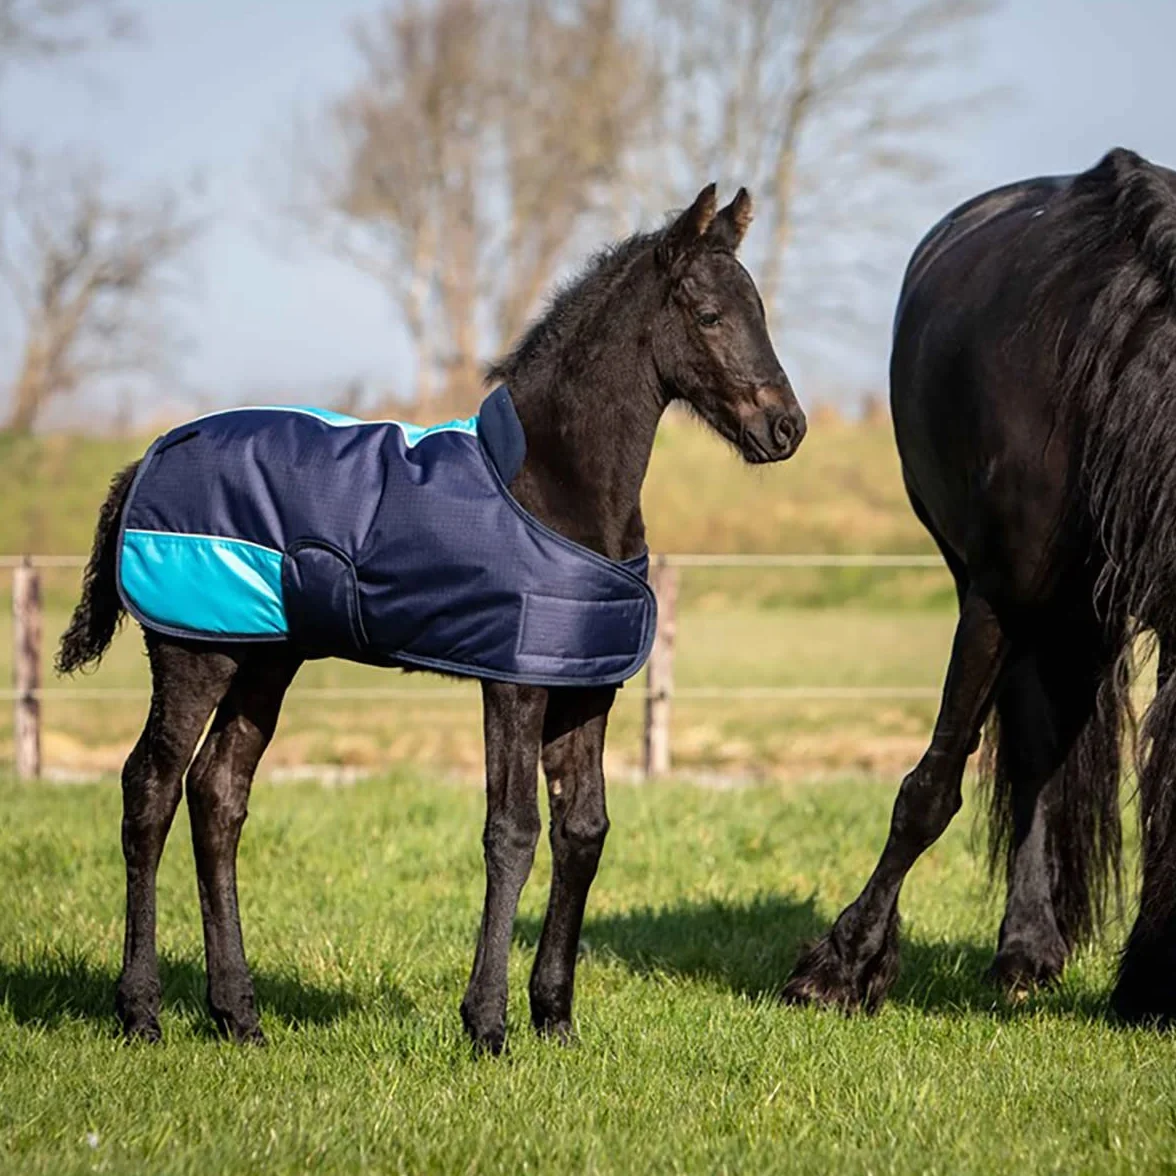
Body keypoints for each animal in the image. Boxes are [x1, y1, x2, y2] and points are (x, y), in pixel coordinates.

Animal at [58, 184, 807, 1052]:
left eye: (761, 311)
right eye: (710, 314)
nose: (786, 428)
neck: (550, 486)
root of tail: (145, 459)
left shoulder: (587, 688)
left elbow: (583, 831)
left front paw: (556, 1019)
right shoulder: (513, 684)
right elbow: (511, 832)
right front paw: (487, 1025)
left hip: (263, 657)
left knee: (218, 794)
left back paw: (237, 1015)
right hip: (193, 650)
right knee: (150, 789)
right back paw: (141, 1011)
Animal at [783, 147, 1176, 1025]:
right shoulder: (998, 599)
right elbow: (930, 788)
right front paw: (841, 967)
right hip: (1023, 602)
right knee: (1032, 754)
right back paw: (1025, 949)